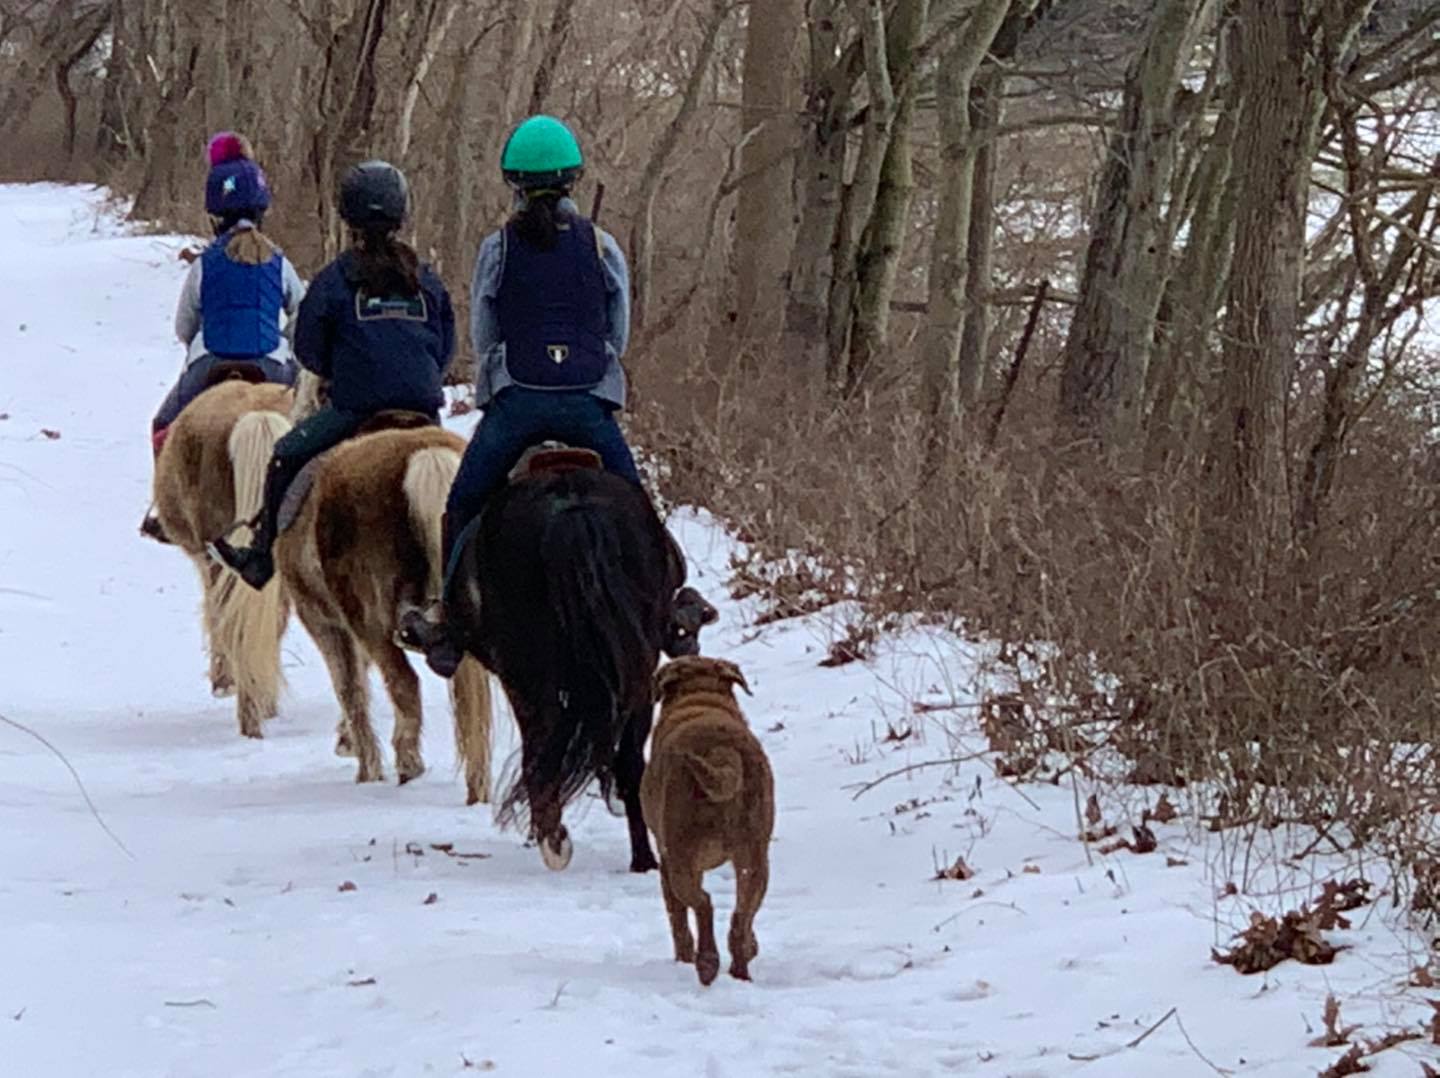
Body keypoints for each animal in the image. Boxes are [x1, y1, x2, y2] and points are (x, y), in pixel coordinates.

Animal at [271, 380, 493, 803]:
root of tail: (424, 458)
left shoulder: (325, 623)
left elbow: (350, 687)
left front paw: (364, 764)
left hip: (372, 620)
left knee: (403, 684)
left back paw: (407, 765)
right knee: (470, 699)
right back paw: (479, 785)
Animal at [445, 452, 702, 872]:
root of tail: (572, 506)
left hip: (531, 674)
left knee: (543, 748)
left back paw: (553, 838)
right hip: (638, 665)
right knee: (630, 760)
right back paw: (643, 859)